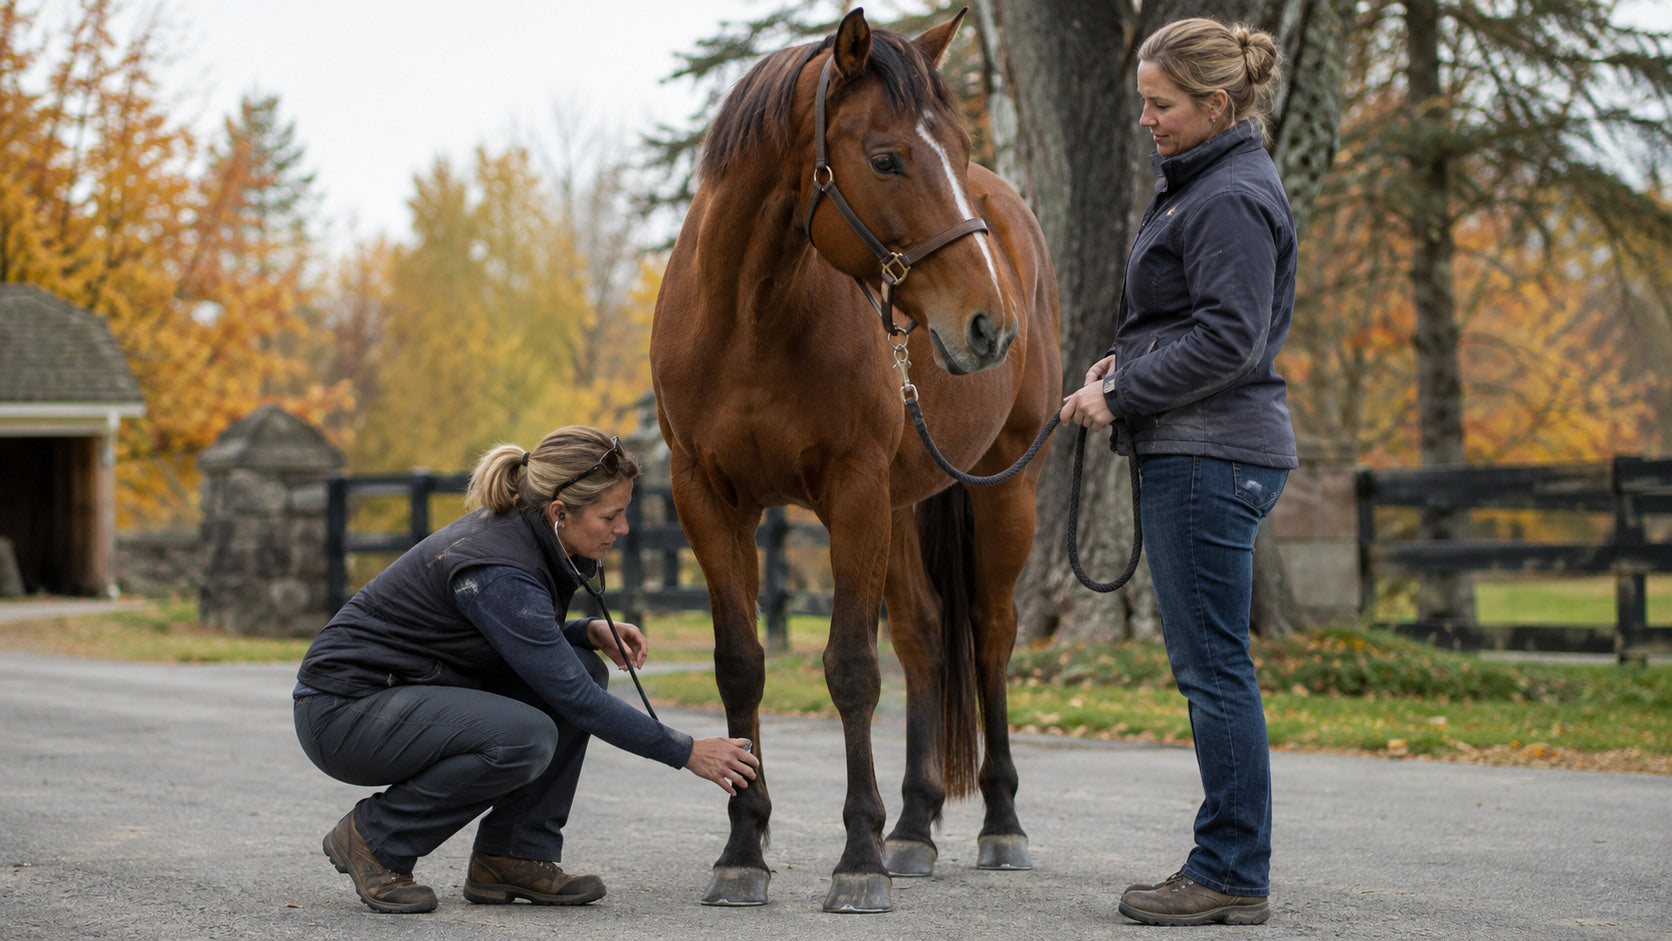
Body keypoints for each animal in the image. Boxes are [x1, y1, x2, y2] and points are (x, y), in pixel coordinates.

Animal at [650, 7, 1061, 913]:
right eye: (885, 157)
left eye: (960, 146)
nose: (988, 325)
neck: (751, 318)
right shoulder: (709, 498)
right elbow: (740, 666)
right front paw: (744, 846)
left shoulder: (854, 493)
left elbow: (850, 669)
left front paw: (858, 856)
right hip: (908, 504)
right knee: (925, 635)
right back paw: (915, 824)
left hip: (1005, 490)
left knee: (989, 632)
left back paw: (1000, 823)